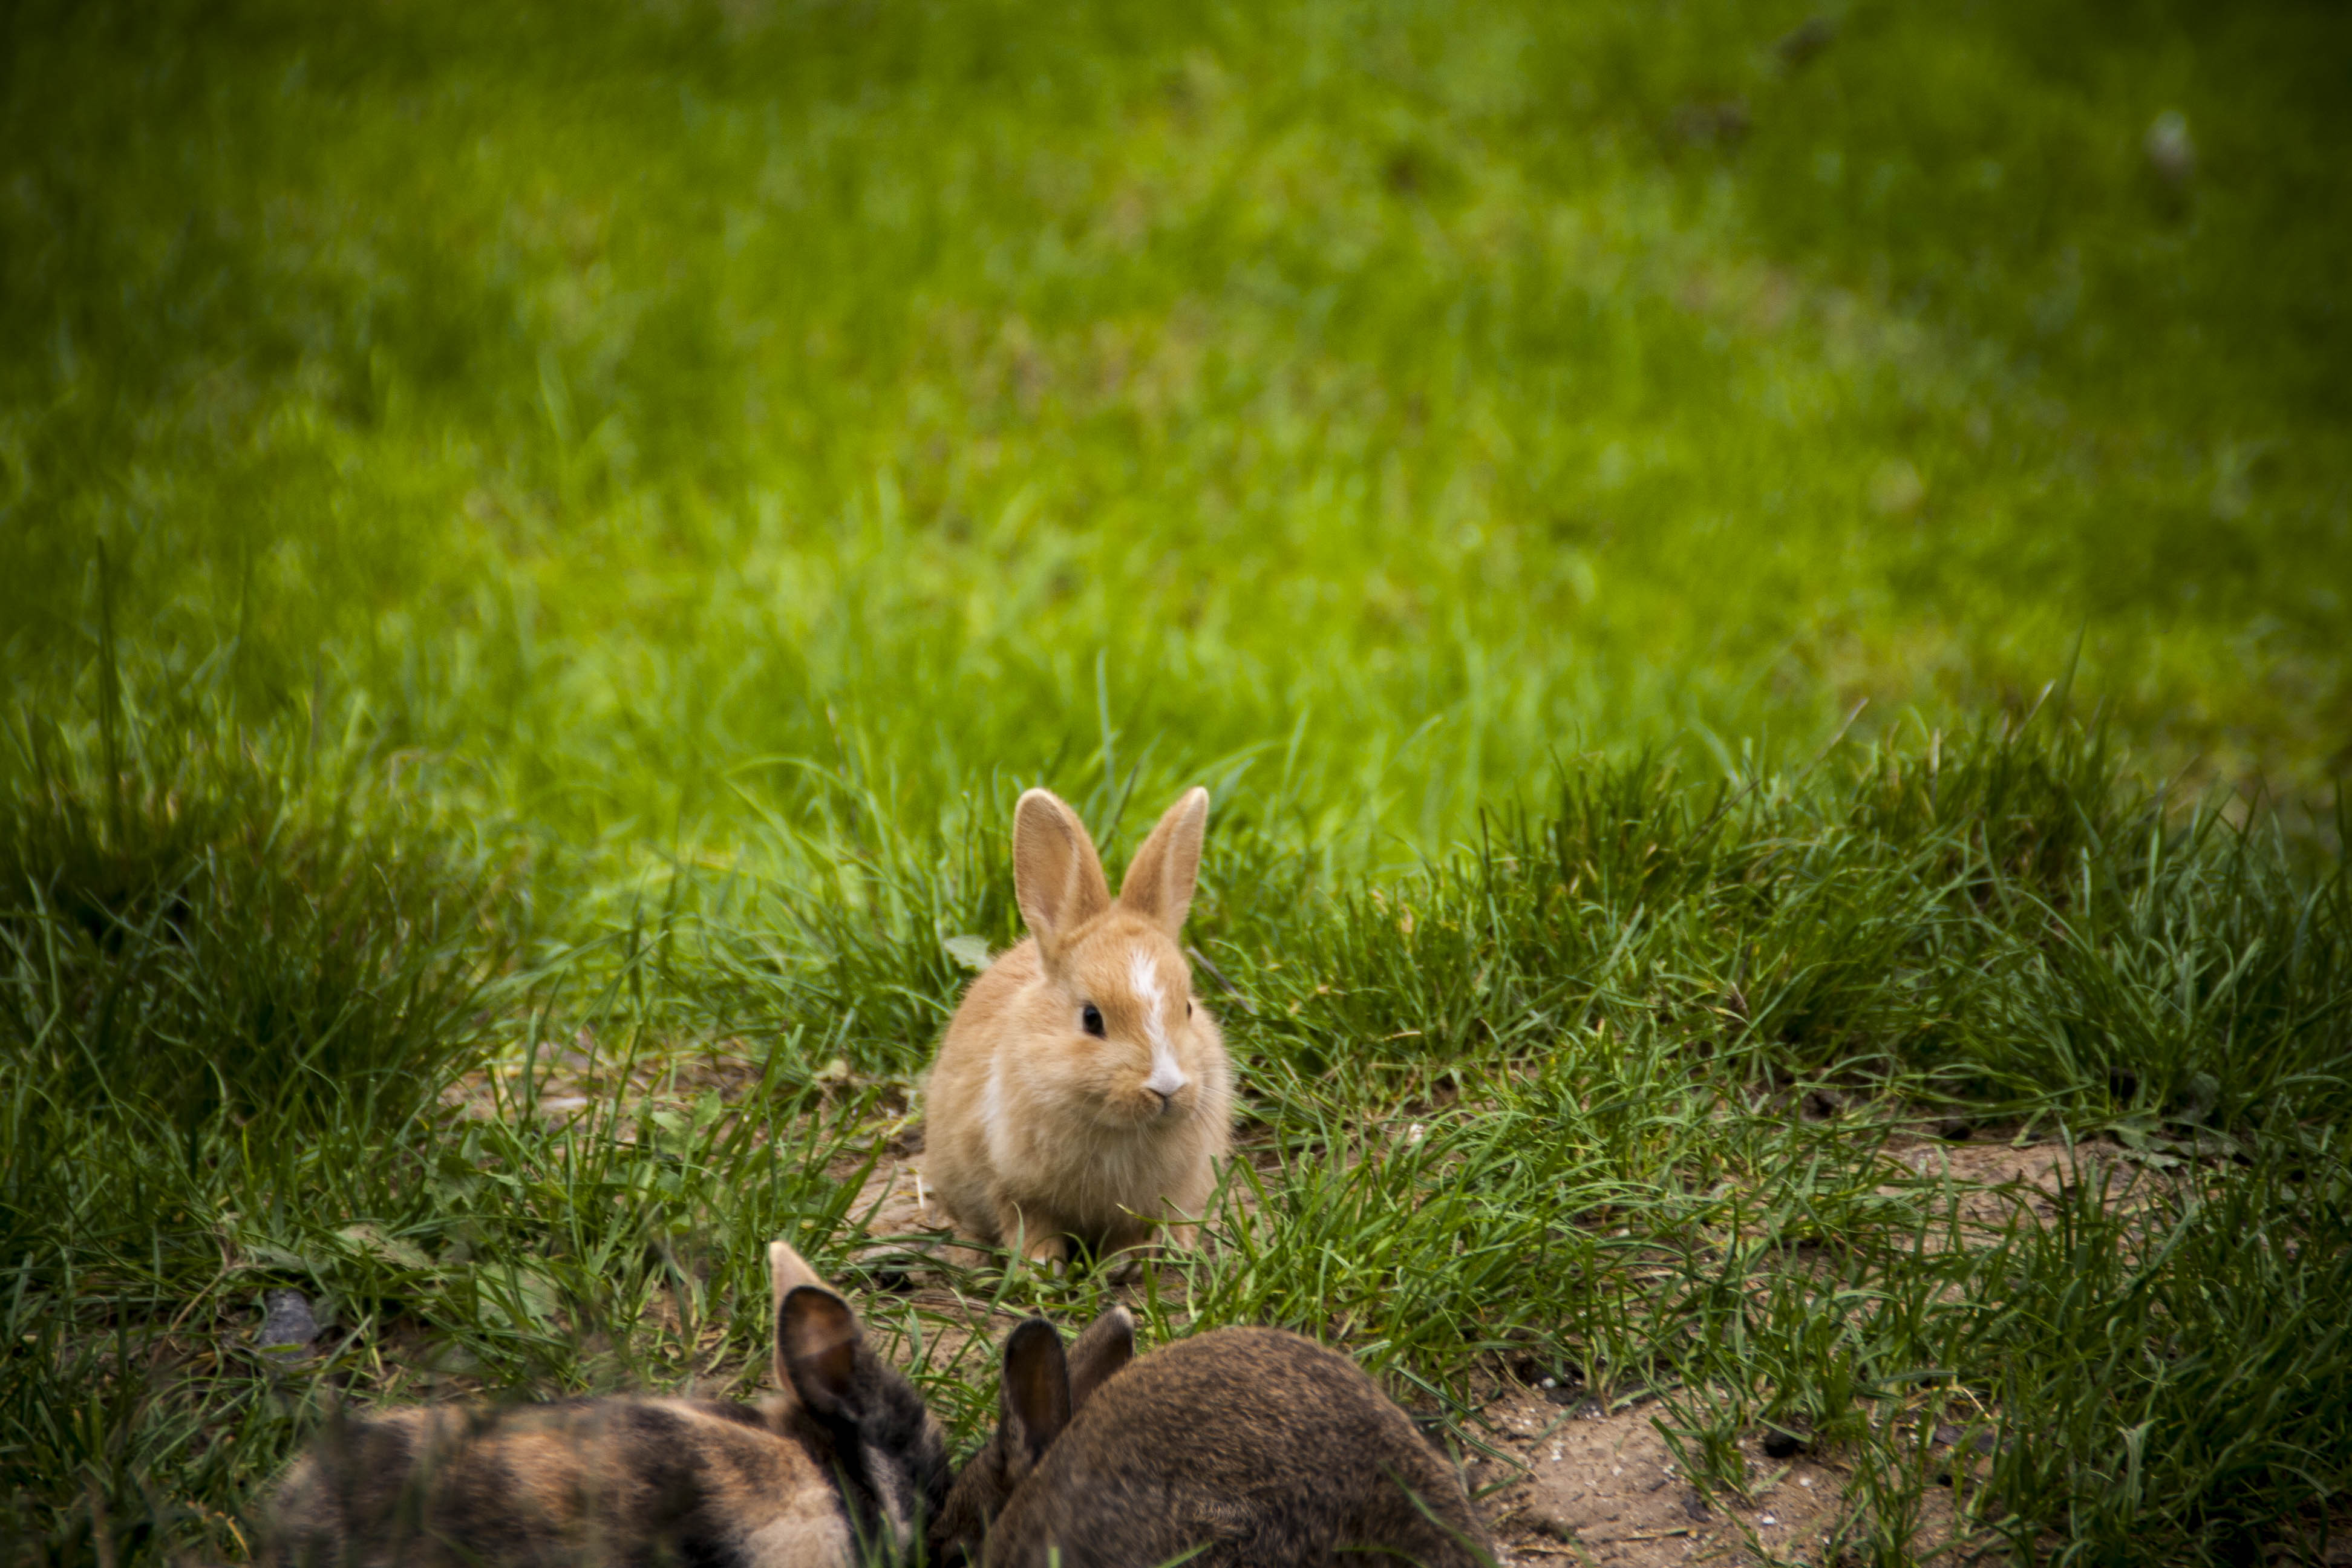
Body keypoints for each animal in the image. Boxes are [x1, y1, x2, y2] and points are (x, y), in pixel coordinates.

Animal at [922, 789, 1241, 1269]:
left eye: (1187, 1008)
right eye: (1092, 1019)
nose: (1166, 1087)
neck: (1120, 1130)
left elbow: (1129, 1231)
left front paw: (1121, 1263)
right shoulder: (1011, 1185)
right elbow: (1029, 1223)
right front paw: (1041, 1266)